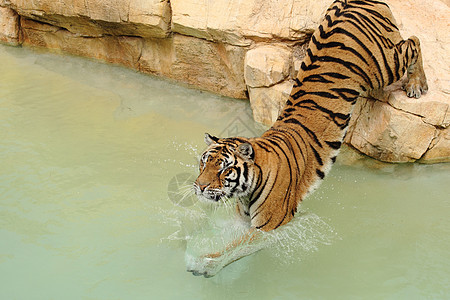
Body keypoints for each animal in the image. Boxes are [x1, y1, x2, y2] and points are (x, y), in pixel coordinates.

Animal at [188, 0, 428, 276]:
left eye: (224, 169)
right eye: (204, 163)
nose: (199, 186)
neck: (246, 191)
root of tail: (356, 1)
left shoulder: (270, 227)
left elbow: (235, 247)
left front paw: (205, 263)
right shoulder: (243, 220)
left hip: (383, 66)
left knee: (414, 42)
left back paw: (417, 85)